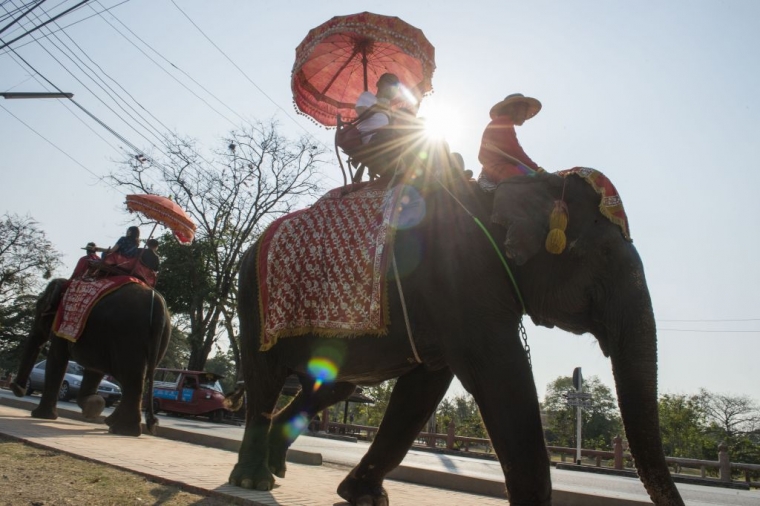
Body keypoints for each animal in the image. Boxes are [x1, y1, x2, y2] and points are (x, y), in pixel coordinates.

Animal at [10, 276, 171, 434]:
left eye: (40, 306)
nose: (17, 387)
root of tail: (158, 305)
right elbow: (94, 370)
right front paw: (94, 405)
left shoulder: (62, 322)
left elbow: (57, 358)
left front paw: (41, 416)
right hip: (157, 338)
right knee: (138, 377)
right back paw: (114, 424)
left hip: (128, 334)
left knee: (131, 377)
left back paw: (122, 429)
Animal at [229, 167, 684, 506]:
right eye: (606, 256)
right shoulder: (458, 274)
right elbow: (499, 373)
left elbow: (424, 388)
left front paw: (364, 496)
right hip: (254, 301)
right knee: (264, 378)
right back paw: (253, 481)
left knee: (329, 389)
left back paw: (277, 468)